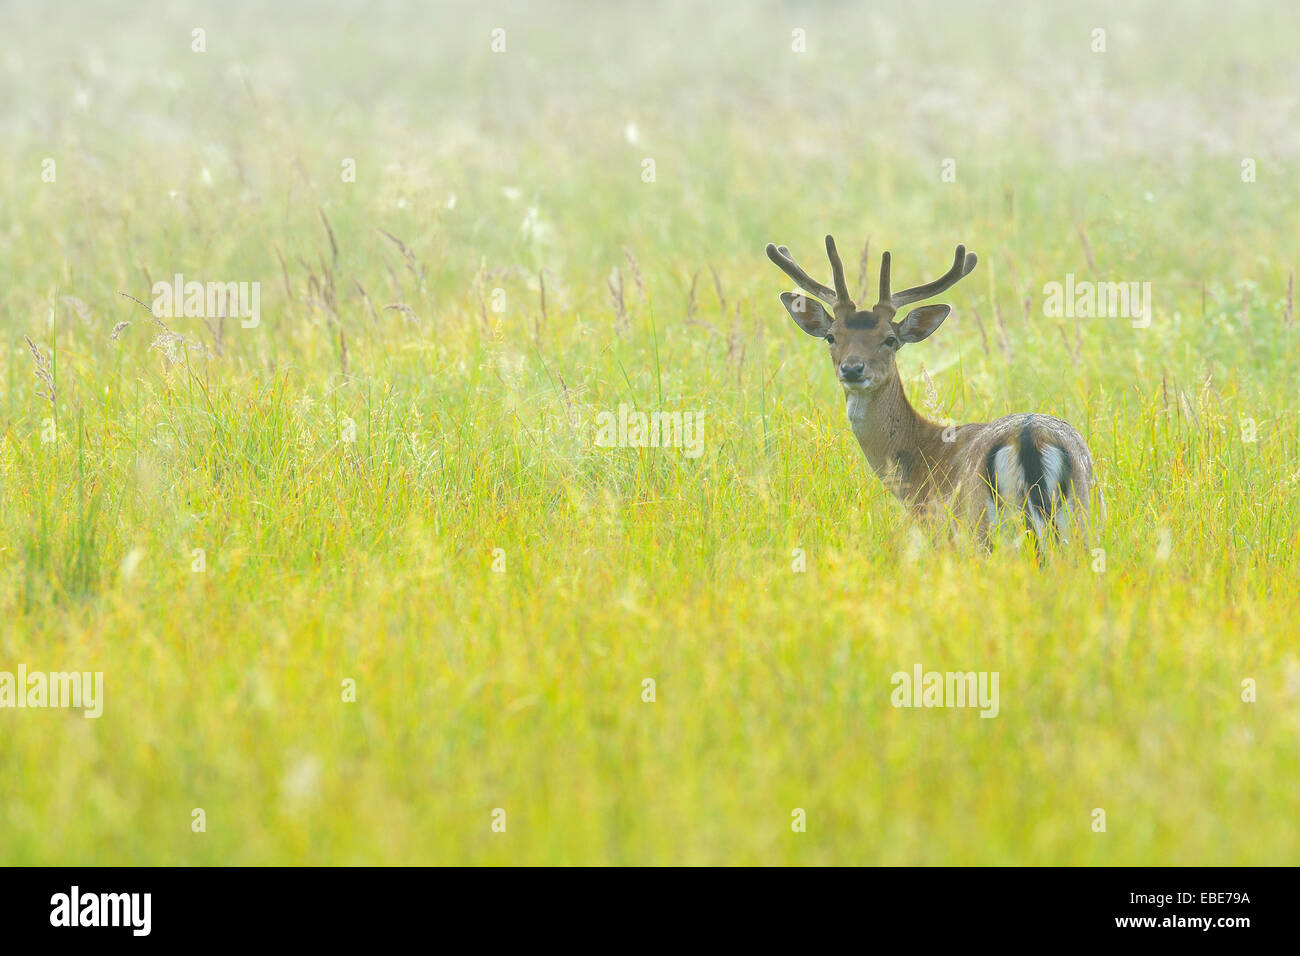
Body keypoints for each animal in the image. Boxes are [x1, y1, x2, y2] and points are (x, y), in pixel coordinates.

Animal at [764, 235, 1102, 556]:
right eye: (832, 337)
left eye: (890, 339)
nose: (853, 369)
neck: (922, 459)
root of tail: (1032, 439)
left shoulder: (937, 528)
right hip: (1081, 517)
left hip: (982, 526)